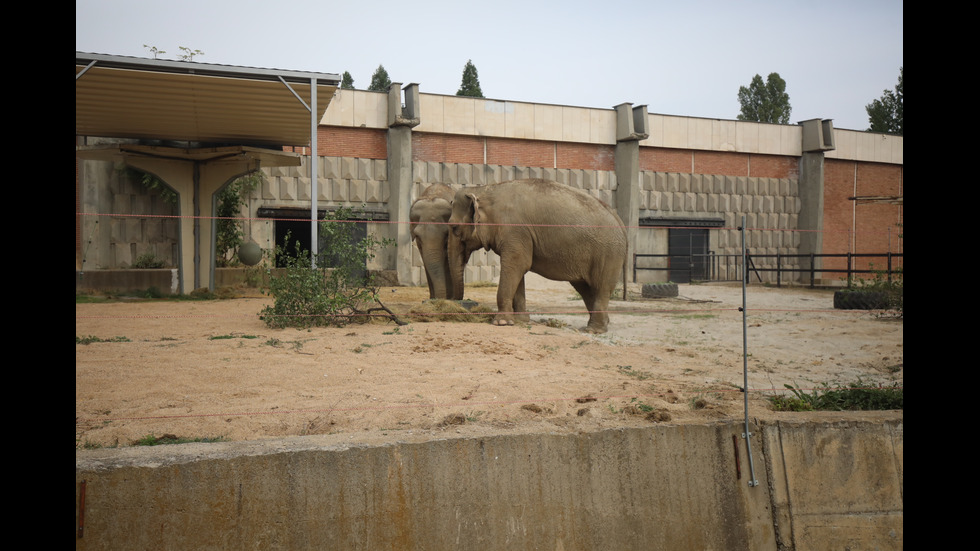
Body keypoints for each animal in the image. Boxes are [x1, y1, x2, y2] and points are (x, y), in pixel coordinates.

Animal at [446, 179, 624, 332]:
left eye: (453, 227)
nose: (459, 303)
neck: (486, 189)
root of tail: (619, 219)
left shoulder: (515, 230)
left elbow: (517, 264)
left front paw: (501, 322)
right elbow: (518, 269)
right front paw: (520, 320)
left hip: (608, 255)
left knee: (601, 287)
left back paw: (594, 330)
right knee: (584, 288)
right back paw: (600, 324)